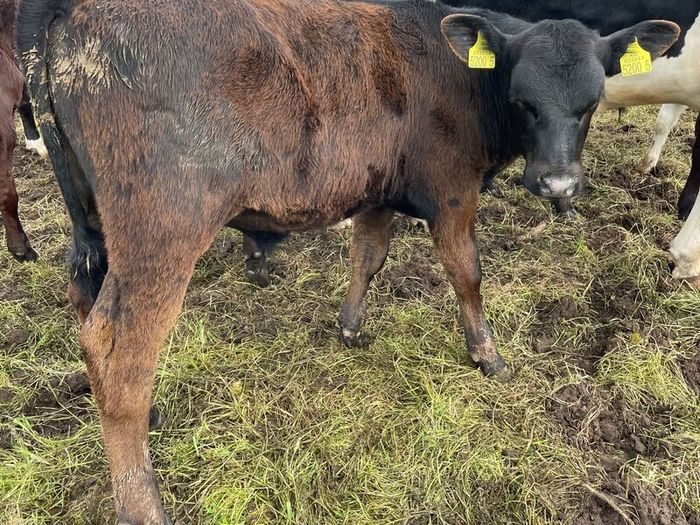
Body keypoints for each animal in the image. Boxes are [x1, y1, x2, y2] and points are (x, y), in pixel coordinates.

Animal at [19, 0, 678, 522]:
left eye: (591, 103)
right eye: (523, 100)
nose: (557, 183)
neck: (461, 77)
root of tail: (72, 17)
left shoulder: (377, 191)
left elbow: (368, 257)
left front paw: (350, 327)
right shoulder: (452, 193)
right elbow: (467, 272)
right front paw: (487, 355)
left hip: (94, 227)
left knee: (84, 303)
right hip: (162, 235)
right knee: (119, 353)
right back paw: (143, 502)